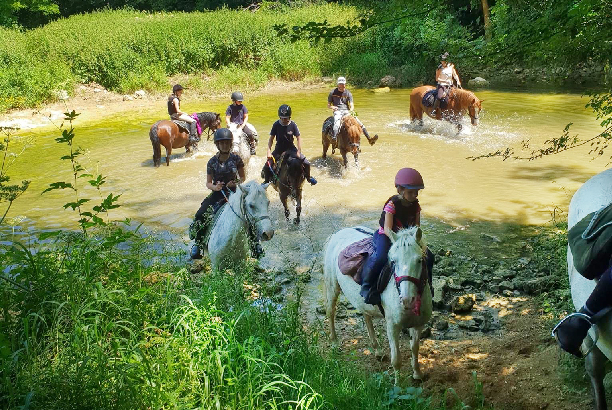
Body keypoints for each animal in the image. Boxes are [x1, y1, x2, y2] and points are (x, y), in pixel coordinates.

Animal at [322, 224, 432, 384]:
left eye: (419, 260)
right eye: (393, 261)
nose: (406, 299)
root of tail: (337, 234)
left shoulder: (418, 324)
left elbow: (415, 348)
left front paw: (417, 374)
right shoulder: (392, 326)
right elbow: (396, 359)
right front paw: (398, 386)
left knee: (366, 317)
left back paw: (377, 350)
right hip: (332, 286)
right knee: (330, 312)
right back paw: (335, 343)